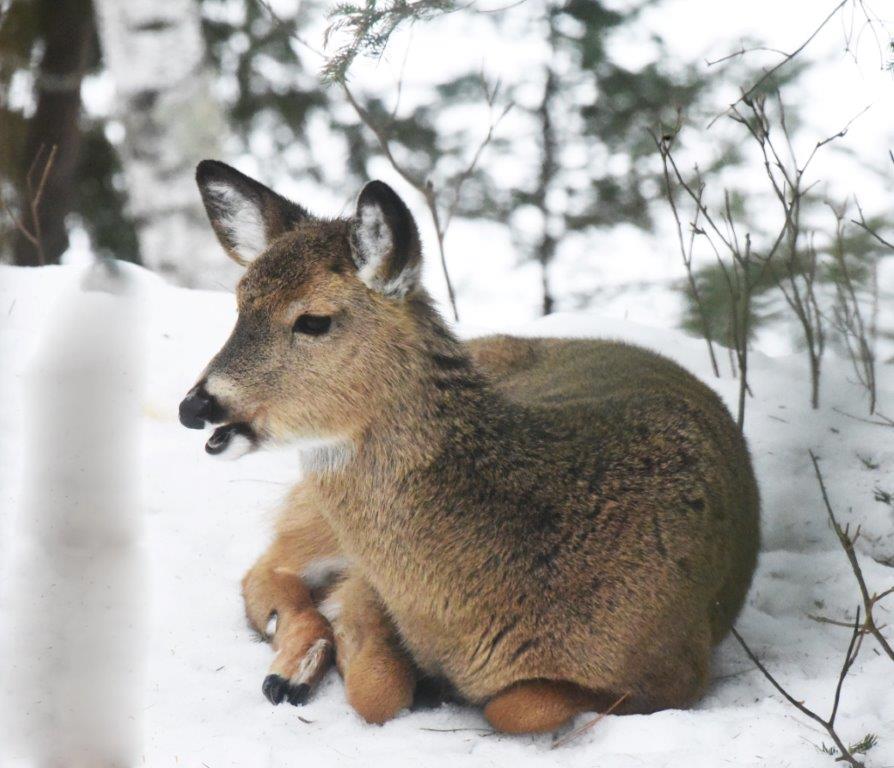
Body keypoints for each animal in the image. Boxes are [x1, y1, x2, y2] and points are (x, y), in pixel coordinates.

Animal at [179, 160, 760, 734]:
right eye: (239, 305)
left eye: (313, 320)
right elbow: (378, 692)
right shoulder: (373, 586)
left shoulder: (678, 673)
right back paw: (290, 672)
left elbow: (517, 706)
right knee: (266, 568)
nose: (195, 405)